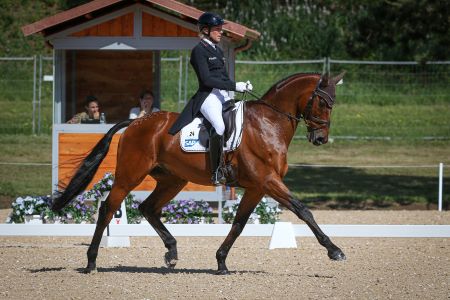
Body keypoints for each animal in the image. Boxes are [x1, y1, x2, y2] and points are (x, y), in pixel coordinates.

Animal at [53, 71, 348, 274]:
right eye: (324, 103)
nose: (320, 139)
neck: (268, 124)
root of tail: (136, 122)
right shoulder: (268, 181)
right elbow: (303, 210)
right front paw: (334, 250)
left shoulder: (257, 187)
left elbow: (239, 224)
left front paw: (221, 262)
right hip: (130, 175)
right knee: (108, 208)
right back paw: (91, 262)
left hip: (173, 180)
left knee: (148, 208)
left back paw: (171, 252)